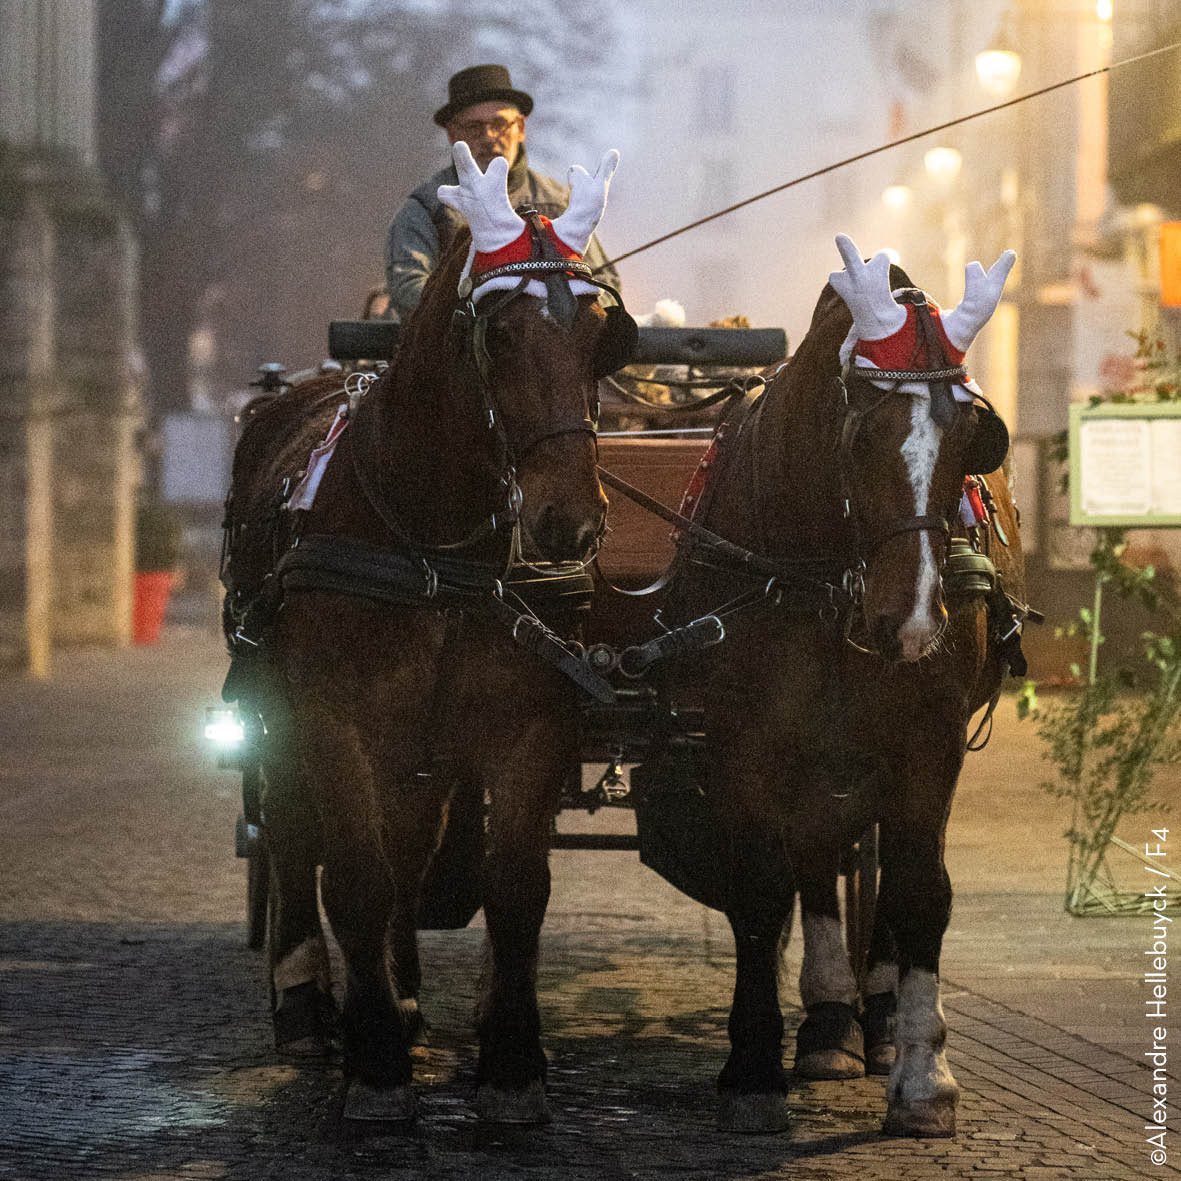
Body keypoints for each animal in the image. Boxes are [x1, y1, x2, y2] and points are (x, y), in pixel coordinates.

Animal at [218, 142, 633, 1119]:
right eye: (499, 333)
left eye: (602, 333)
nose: (569, 519)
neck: (433, 540)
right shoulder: (335, 719)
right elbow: (355, 876)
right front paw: (372, 1063)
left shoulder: (527, 725)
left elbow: (514, 887)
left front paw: (512, 1061)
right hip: (279, 710)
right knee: (294, 835)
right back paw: (308, 1002)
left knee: (407, 849)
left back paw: (404, 996)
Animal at [637, 232, 1025, 1133]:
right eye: (861, 435)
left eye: (972, 440)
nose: (910, 621)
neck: (823, 577)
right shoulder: (742, 740)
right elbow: (759, 889)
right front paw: (752, 1067)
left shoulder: (927, 742)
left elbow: (919, 892)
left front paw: (923, 1074)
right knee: (814, 857)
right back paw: (823, 1024)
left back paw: (868, 1020)